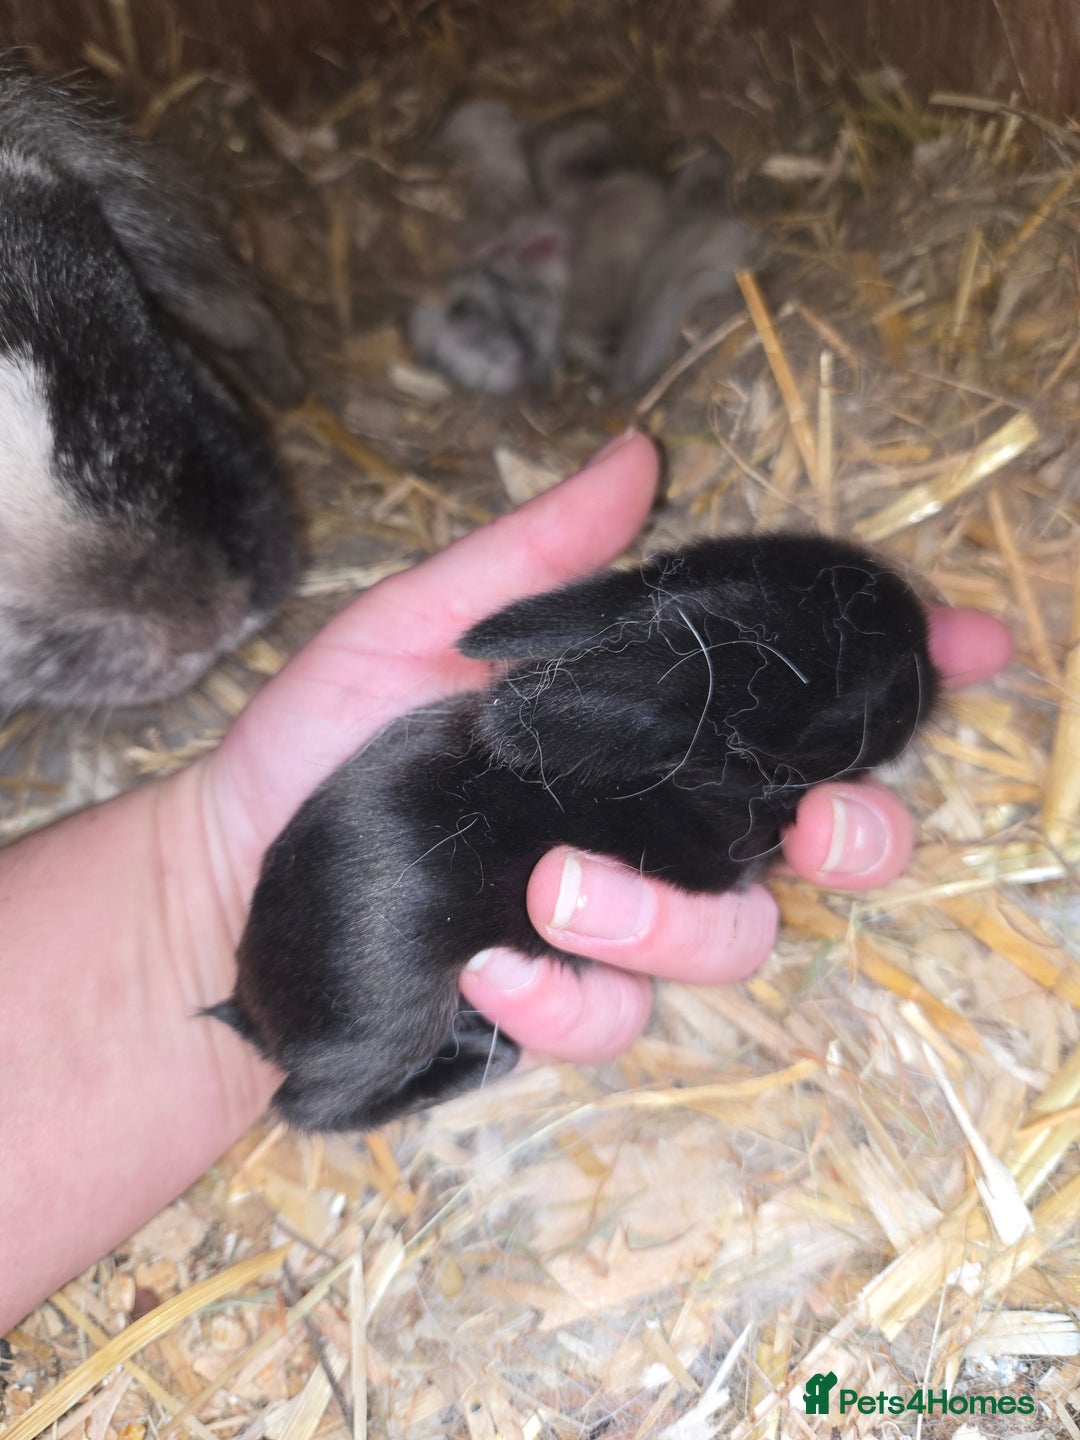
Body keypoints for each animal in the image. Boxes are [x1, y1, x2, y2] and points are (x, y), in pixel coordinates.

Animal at [207, 533, 940, 1133]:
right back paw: (481, 1059)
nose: (933, 669)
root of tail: (246, 1007)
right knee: (306, 1107)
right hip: (392, 1019)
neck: (685, 777)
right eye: (875, 700)